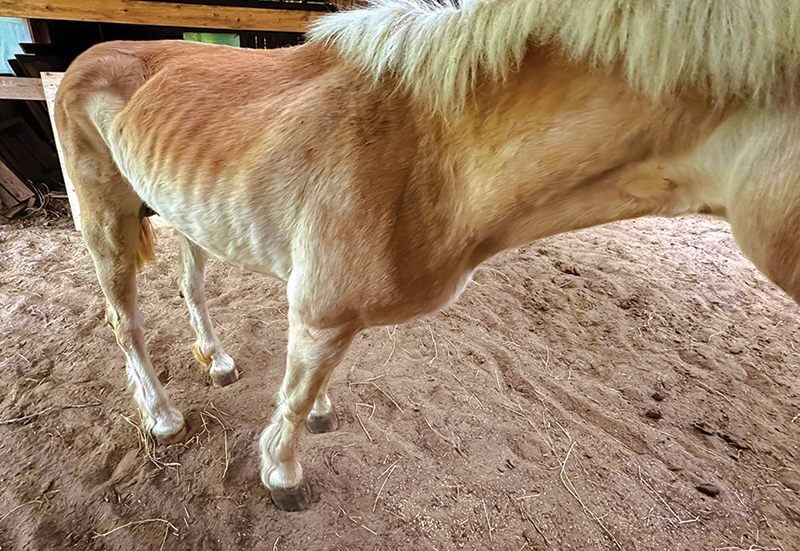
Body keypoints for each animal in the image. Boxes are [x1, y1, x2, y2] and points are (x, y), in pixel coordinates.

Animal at [54, 0, 800, 511]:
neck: (430, 155)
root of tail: (83, 58)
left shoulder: (326, 313)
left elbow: (312, 384)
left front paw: (320, 414)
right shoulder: (321, 310)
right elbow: (293, 395)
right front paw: (282, 474)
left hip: (191, 217)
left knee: (192, 286)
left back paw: (218, 361)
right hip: (105, 219)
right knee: (125, 319)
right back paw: (161, 416)